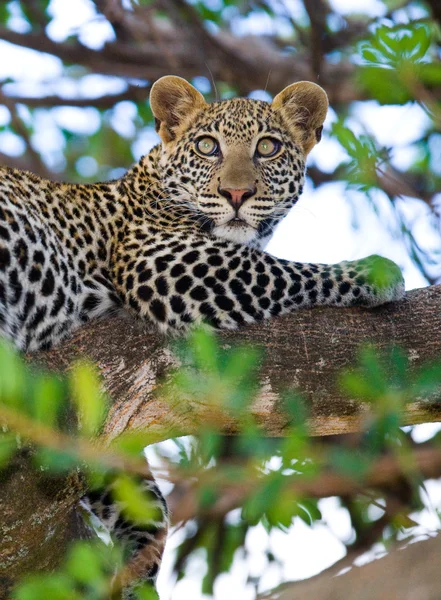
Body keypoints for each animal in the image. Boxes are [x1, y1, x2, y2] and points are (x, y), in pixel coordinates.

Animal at [0, 76, 406, 596]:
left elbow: (143, 497)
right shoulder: (164, 260)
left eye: (268, 148)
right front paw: (374, 273)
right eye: (207, 147)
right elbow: (283, 270)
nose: (236, 193)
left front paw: (137, 570)